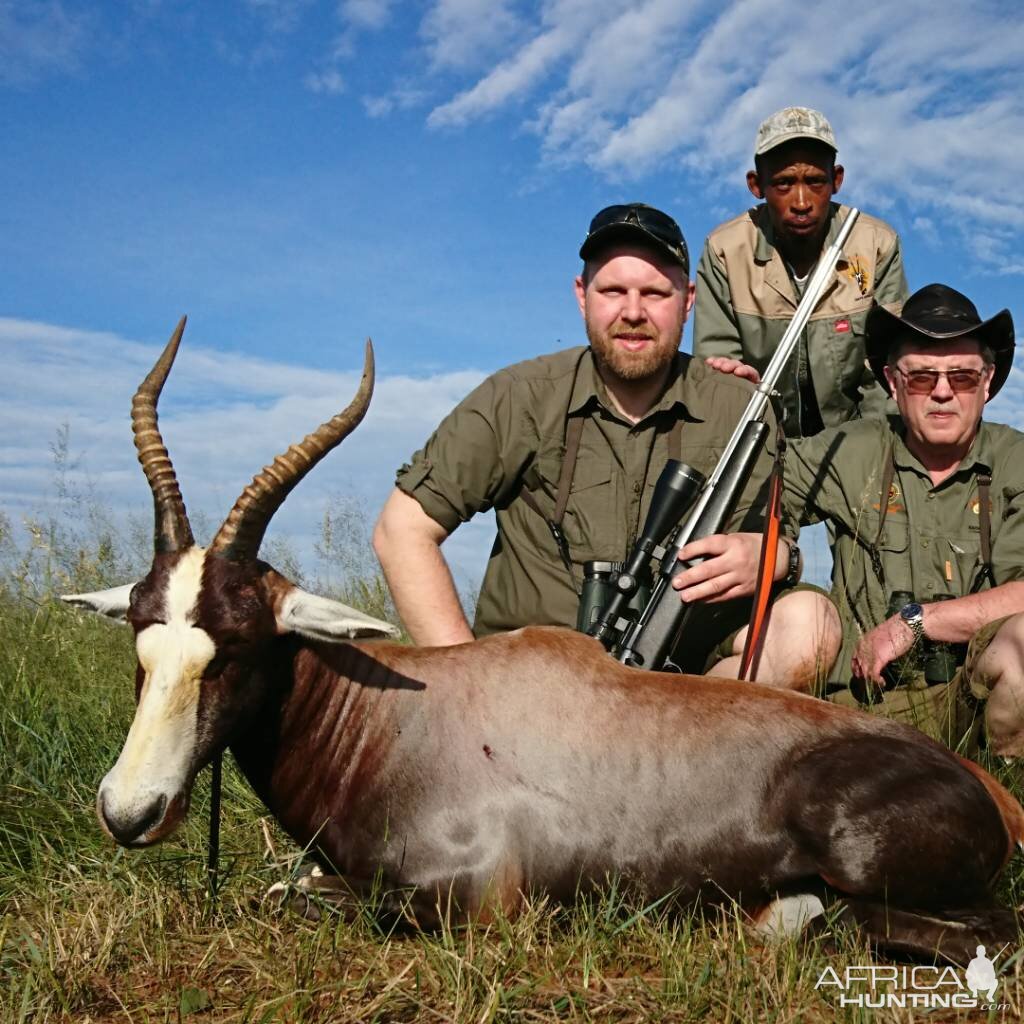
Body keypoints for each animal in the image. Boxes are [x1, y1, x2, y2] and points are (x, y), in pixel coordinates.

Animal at [66, 317, 1024, 958]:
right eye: (143, 639)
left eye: (237, 644)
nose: (129, 812)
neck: (403, 714)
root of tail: (987, 791)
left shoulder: (479, 899)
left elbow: (296, 893)